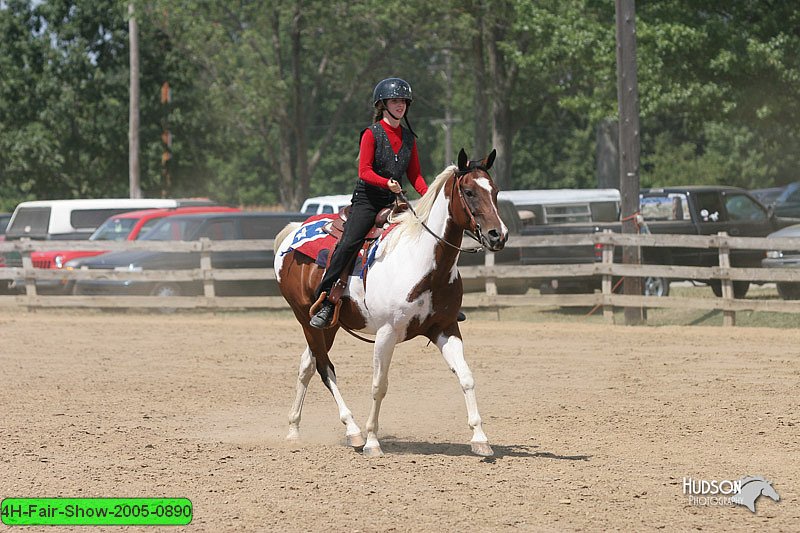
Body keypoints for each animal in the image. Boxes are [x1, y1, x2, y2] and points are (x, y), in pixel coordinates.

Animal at [270, 148, 506, 456]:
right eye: (469, 192)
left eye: (496, 191)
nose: (498, 235)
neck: (423, 262)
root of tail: (293, 232)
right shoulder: (386, 333)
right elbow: (378, 385)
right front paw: (372, 441)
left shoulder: (445, 328)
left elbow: (466, 377)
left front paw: (480, 439)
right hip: (304, 319)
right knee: (324, 368)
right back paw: (354, 431)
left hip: (327, 324)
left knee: (307, 364)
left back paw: (294, 429)